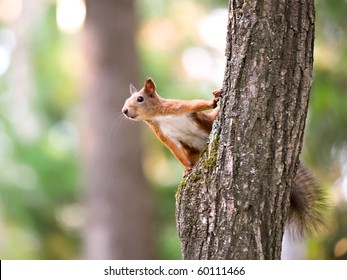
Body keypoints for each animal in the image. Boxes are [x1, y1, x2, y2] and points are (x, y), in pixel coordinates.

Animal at [121, 76, 328, 236]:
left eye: (139, 98)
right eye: (126, 101)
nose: (124, 111)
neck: (159, 117)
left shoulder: (177, 107)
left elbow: (196, 104)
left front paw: (213, 100)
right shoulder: (166, 137)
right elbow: (178, 153)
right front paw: (187, 169)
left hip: (208, 122)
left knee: (212, 117)